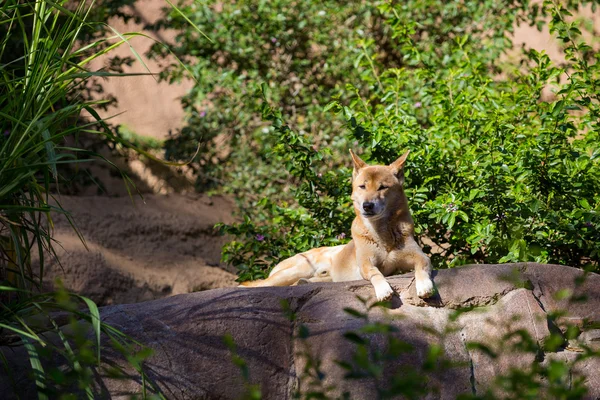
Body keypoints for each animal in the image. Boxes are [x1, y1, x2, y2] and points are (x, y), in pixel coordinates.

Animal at [240, 150, 436, 300]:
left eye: (382, 187)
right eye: (362, 186)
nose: (367, 205)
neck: (382, 232)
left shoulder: (418, 256)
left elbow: (423, 265)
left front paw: (424, 286)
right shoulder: (365, 264)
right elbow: (375, 273)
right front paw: (383, 289)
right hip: (295, 270)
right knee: (257, 284)